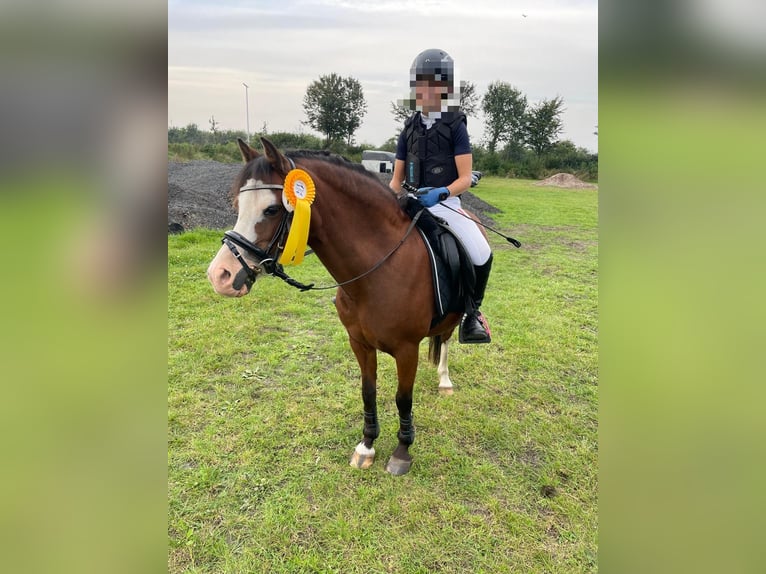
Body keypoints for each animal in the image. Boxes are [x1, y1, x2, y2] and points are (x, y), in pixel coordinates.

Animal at [207, 137, 477, 475]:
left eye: (271, 209)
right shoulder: (359, 343)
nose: (220, 275)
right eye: (237, 207)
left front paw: (402, 451)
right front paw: (367, 446)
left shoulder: (407, 349)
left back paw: (445, 378)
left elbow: (403, 398)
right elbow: (368, 392)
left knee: (448, 338)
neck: (377, 271)